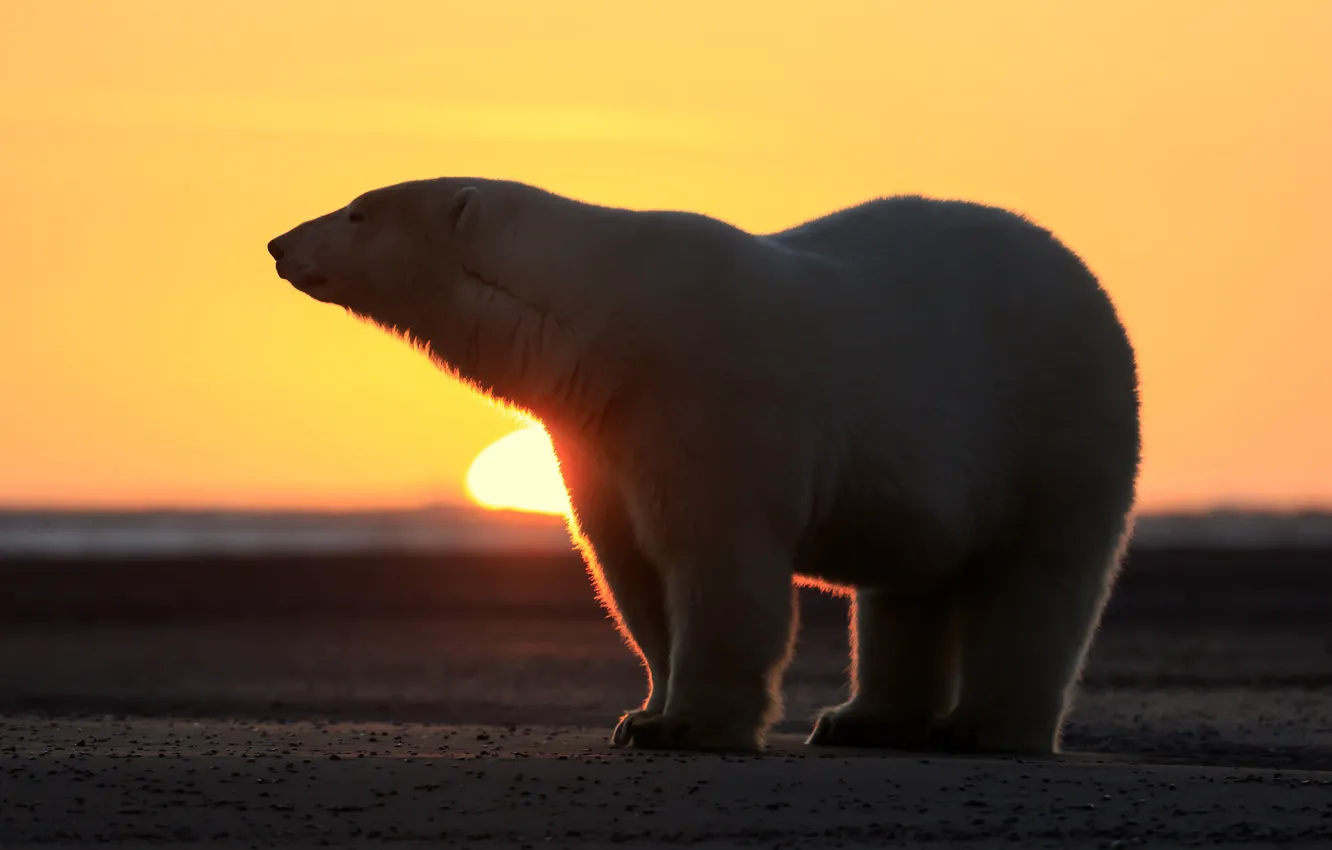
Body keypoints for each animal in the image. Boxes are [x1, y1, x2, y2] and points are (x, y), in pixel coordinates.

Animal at [267, 178, 1134, 756]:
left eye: (355, 210)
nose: (277, 244)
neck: (602, 317)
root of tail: (1087, 278)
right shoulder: (597, 431)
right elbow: (628, 566)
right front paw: (643, 714)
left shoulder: (704, 391)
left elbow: (716, 560)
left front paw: (691, 726)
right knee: (907, 585)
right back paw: (862, 720)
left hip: (1053, 418)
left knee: (1038, 579)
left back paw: (987, 726)